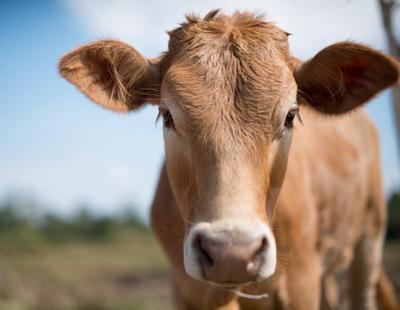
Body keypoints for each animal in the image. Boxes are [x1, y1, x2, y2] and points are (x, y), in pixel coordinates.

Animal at [57, 10, 398, 310]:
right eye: (168, 116)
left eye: (290, 116)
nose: (231, 252)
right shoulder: (184, 289)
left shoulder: (302, 283)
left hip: (370, 235)